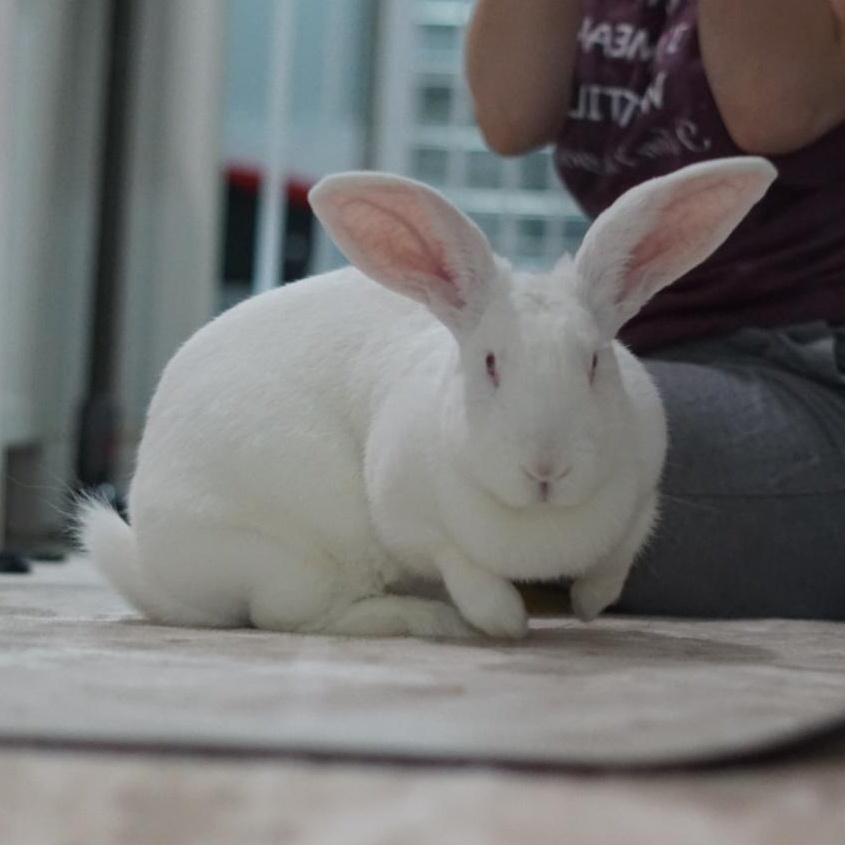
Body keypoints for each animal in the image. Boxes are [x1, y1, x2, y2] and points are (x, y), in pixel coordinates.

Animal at [79, 156, 776, 639]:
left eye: (594, 363)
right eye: (490, 364)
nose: (546, 469)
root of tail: (151, 562)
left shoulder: (643, 492)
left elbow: (622, 553)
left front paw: (589, 605)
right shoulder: (412, 520)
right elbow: (463, 566)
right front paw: (504, 623)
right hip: (292, 551)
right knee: (292, 616)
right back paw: (430, 620)